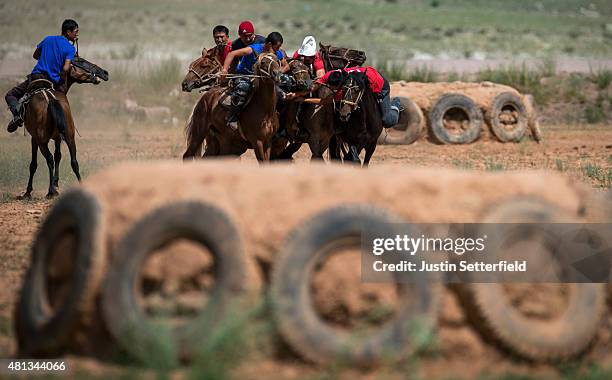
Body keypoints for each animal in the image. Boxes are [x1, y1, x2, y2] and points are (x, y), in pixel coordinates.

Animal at [20, 58, 109, 199]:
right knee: (74, 162)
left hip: (42, 141)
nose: (105, 73)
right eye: (82, 61)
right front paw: (56, 184)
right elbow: (59, 156)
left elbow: (34, 164)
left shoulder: (34, 139)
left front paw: (28, 191)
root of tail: (50, 99)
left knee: (49, 159)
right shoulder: (58, 138)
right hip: (69, 137)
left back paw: (50, 191)